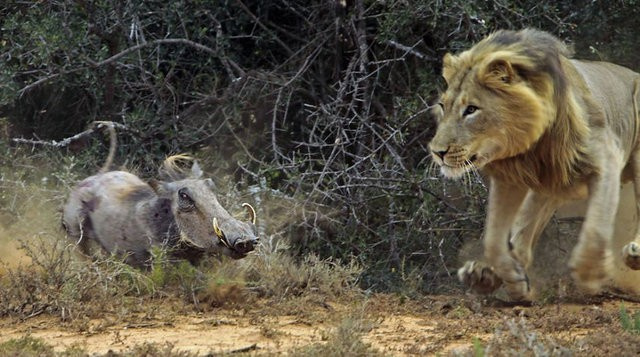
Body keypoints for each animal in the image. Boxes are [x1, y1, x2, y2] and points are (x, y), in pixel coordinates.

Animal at [430, 28, 640, 300]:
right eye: (442, 106)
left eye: (471, 109)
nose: (437, 152)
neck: (530, 147)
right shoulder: (509, 179)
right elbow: (494, 239)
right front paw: (513, 279)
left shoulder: (606, 157)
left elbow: (596, 227)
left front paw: (590, 275)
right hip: (551, 185)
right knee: (522, 234)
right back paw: (483, 276)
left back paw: (634, 254)